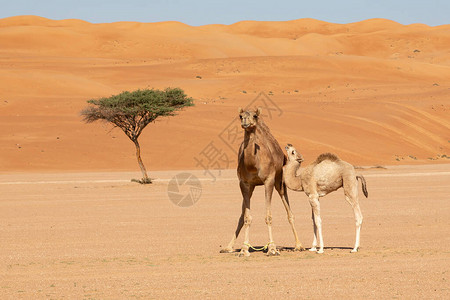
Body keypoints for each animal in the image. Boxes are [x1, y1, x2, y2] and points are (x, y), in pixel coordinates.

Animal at [221, 108, 304, 255]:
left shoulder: (269, 181)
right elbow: (246, 217)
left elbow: (268, 217)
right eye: (240, 116)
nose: (245, 121)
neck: (253, 164)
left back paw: (298, 245)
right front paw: (244, 249)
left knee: (289, 212)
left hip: (279, 181)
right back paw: (228, 247)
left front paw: (272, 248)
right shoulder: (244, 183)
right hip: (252, 187)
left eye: (254, 116)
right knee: (242, 215)